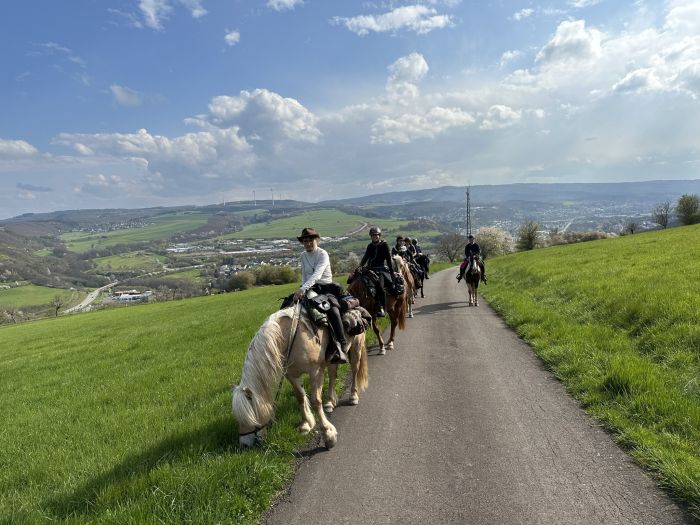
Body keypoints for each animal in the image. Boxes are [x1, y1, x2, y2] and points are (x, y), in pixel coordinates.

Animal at [232, 304, 370, 448]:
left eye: (250, 415)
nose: (244, 444)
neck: (288, 336)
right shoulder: (291, 375)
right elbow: (300, 397)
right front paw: (306, 425)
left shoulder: (315, 371)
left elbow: (316, 401)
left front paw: (328, 435)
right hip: (332, 359)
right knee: (332, 376)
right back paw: (330, 402)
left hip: (356, 348)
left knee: (354, 371)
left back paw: (353, 396)